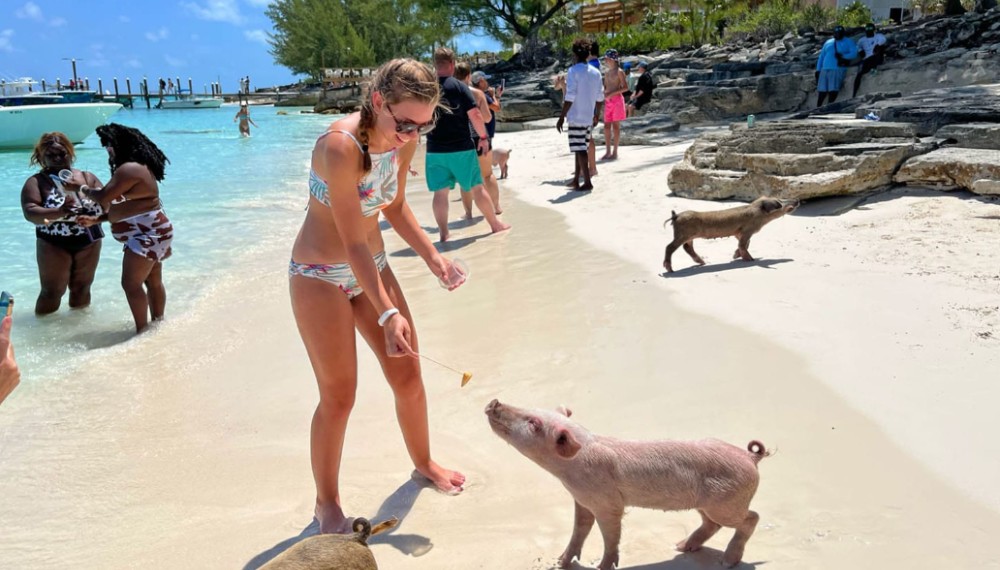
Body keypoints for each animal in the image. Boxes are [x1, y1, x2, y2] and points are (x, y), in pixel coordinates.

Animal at [485, 400, 769, 569]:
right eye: (532, 409)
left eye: (534, 423)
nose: (495, 402)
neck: (570, 471)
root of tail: (750, 457)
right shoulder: (582, 499)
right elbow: (580, 528)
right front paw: (561, 562)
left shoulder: (608, 502)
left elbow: (610, 534)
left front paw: (602, 566)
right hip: (708, 504)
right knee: (712, 523)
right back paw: (680, 546)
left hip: (727, 501)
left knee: (751, 517)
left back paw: (726, 562)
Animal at [663, 197, 799, 273]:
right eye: (779, 203)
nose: (797, 200)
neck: (757, 213)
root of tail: (676, 216)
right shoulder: (747, 231)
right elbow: (743, 244)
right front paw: (751, 260)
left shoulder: (739, 232)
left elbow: (745, 244)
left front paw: (734, 256)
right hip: (682, 234)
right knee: (669, 247)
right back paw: (670, 270)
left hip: (688, 236)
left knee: (687, 247)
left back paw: (703, 263)